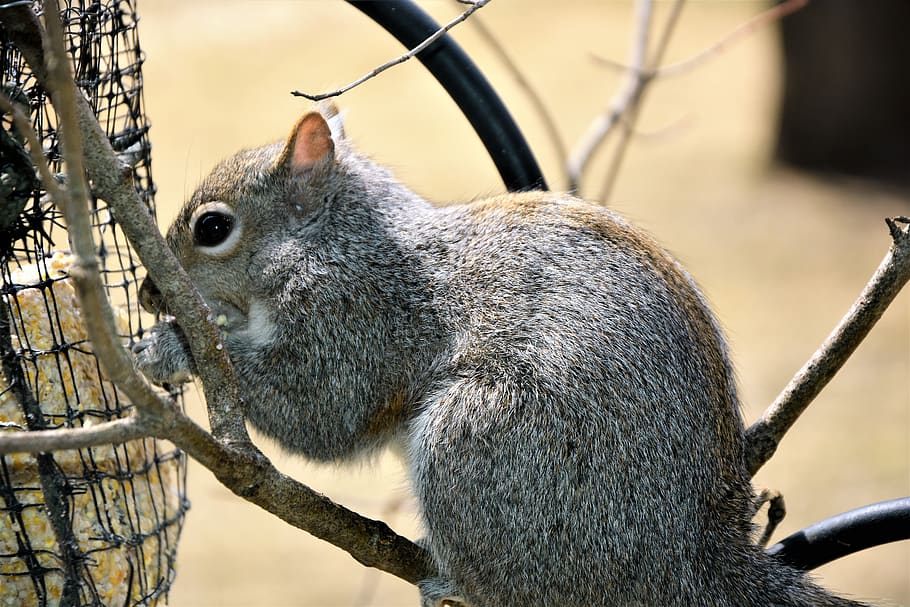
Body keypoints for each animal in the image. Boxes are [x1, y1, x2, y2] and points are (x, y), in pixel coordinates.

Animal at [133, 104, 868, 607]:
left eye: (213, 227)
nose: (145, 293)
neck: (336, 239)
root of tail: (689, 559)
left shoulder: (361, 318)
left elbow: (322, 411)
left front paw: (173, 346)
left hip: (482, 445)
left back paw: (450, 578)